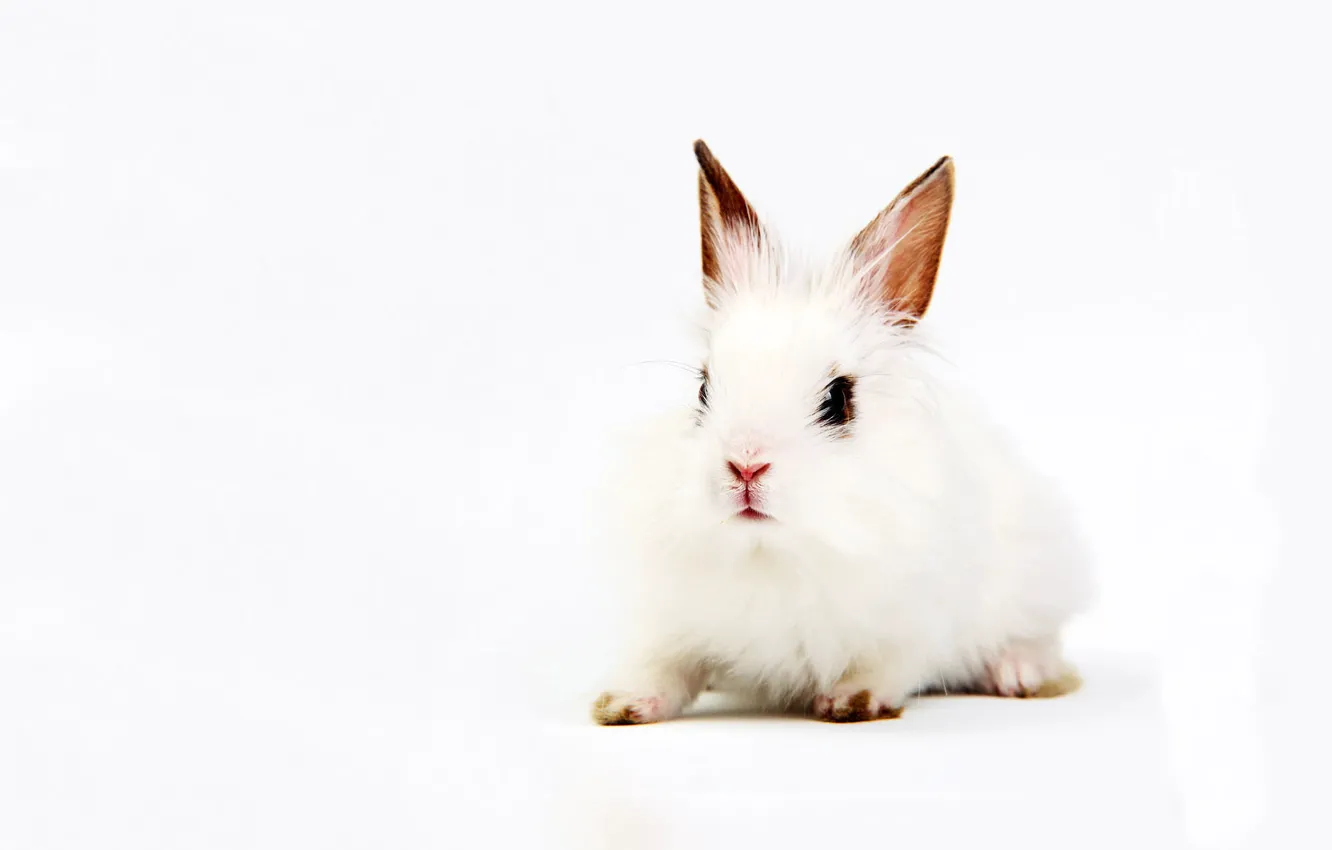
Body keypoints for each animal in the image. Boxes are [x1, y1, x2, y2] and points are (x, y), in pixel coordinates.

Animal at [591, 141, 1094, 725]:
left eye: (837, 400)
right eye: (703, 390)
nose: (745, 465)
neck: (773, 552)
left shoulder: (916, 624)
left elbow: (891, 665)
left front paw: (852, 700)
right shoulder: (676, 624)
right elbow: (665, 668)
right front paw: (622, 703)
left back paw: (1020, 674)